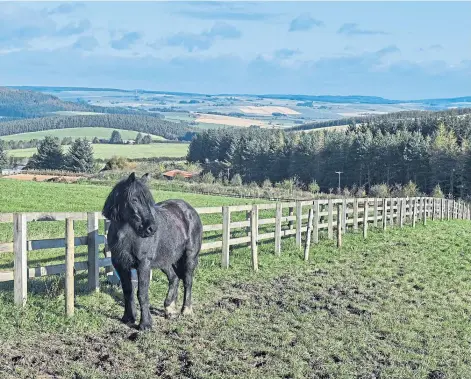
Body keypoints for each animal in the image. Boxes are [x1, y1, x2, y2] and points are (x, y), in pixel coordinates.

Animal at [103, 174, 203, 332]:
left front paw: (145, 324)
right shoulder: (121, 265)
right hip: (166, 260)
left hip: (190, 257)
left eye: (149, 201)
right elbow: (127, 291)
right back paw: (170, 308)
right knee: (174, 278)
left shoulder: (143, 264)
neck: (127, 235)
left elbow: (142, 293)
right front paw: (128, 317)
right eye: (134, 199)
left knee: (188, 281)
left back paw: (186, 310)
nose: (151, 228)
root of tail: (190, 211)